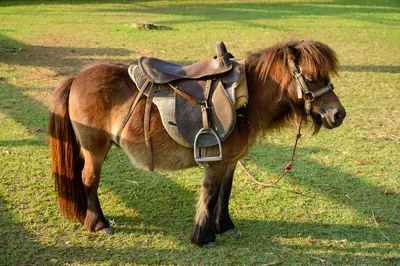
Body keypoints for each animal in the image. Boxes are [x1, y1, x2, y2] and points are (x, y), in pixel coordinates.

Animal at [47, 39, 346, 245]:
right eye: (311, 78)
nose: (338, 114)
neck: (245, 100)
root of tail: (77, 78)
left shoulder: (230, 162)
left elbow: (225, 193)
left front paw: (224, 225)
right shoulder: (216, 163)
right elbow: (210, 194)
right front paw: (204, 236)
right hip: (94, 148)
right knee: (89, 180)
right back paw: (98, 222)